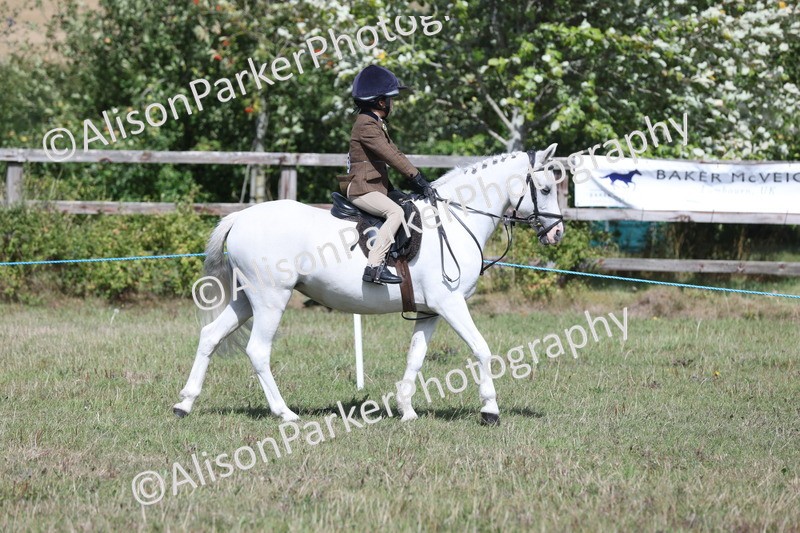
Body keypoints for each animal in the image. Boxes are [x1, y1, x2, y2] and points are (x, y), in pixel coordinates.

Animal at [173, 144, 565, 425]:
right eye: (545, 188)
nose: (557, 233)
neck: (454, 219)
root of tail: (241, 217)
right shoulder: (451, 304)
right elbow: (482, 349)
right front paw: (490, 410)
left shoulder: (430, 312)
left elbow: (415, 357)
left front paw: (407, 410)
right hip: (271, 300)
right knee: (257, 351)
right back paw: (285, 413)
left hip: (246, 299)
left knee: (210, 337)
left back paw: (185, 404)